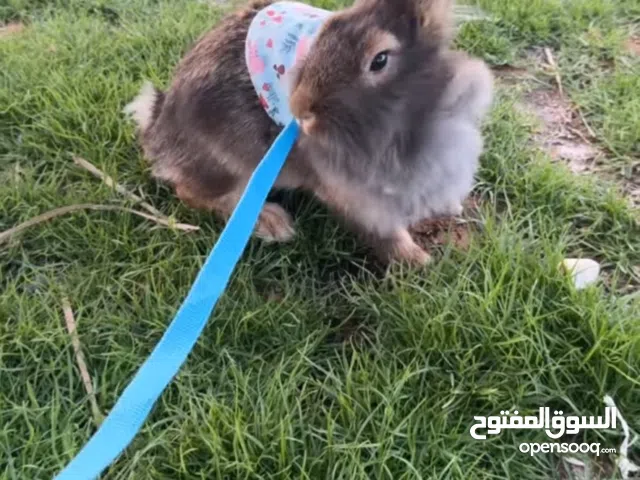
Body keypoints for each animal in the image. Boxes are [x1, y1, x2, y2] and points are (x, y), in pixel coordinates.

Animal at [124, 0, 493, 266]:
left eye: (380, 60)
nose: (300, 109)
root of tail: (157, 125)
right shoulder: (355, 194)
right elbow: (384, 232)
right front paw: (418, 262)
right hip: (229, 162)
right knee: (191, 192)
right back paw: (272, 223)